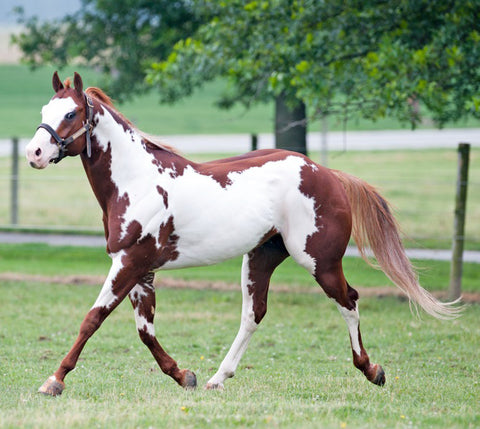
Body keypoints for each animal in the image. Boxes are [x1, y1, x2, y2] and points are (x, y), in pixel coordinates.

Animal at [25, 72, 458, 396]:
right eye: (45, 110)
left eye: (71, 113)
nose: (34, 153)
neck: (138, 182)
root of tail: (327, 173)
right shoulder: (139, 270)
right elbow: (145, 332)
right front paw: (185, 376)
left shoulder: (129, 264)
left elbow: (92, 319)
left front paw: (53, 380)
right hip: (261, 257)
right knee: (254, 314)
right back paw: (218, 378)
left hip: (320, 261)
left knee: (348, 301)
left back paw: (372, 370)